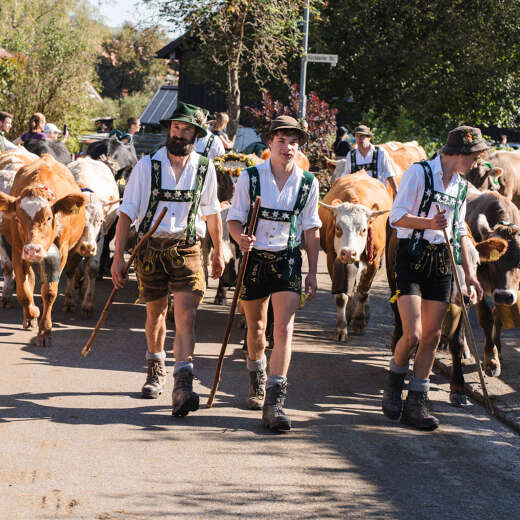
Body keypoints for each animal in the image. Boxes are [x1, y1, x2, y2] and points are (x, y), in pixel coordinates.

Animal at [0, 156, 85, 348]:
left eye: (48, 218)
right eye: (18, 219)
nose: (33, 249)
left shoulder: (62, 253)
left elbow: (50, 291)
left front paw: (45, 331)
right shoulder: (18, 250)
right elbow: (23, 289)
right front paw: (32, 313)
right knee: (29, 281)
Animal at [318, 171, 392, 342]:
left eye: (364, 230)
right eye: (338, 227)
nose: (348, 252)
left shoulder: (374, 261)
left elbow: (363, 291)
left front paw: (359, 321)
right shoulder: (333, 258)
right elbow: (341, 296)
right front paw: (341, 327)